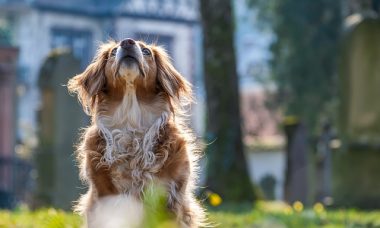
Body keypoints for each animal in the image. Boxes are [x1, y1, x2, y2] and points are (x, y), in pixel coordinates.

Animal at [67, 38, 205, 227]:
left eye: (146, 51)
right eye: (113, 52)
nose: (127, 42)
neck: (131, 122)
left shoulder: (170, 196)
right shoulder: (105, 196)